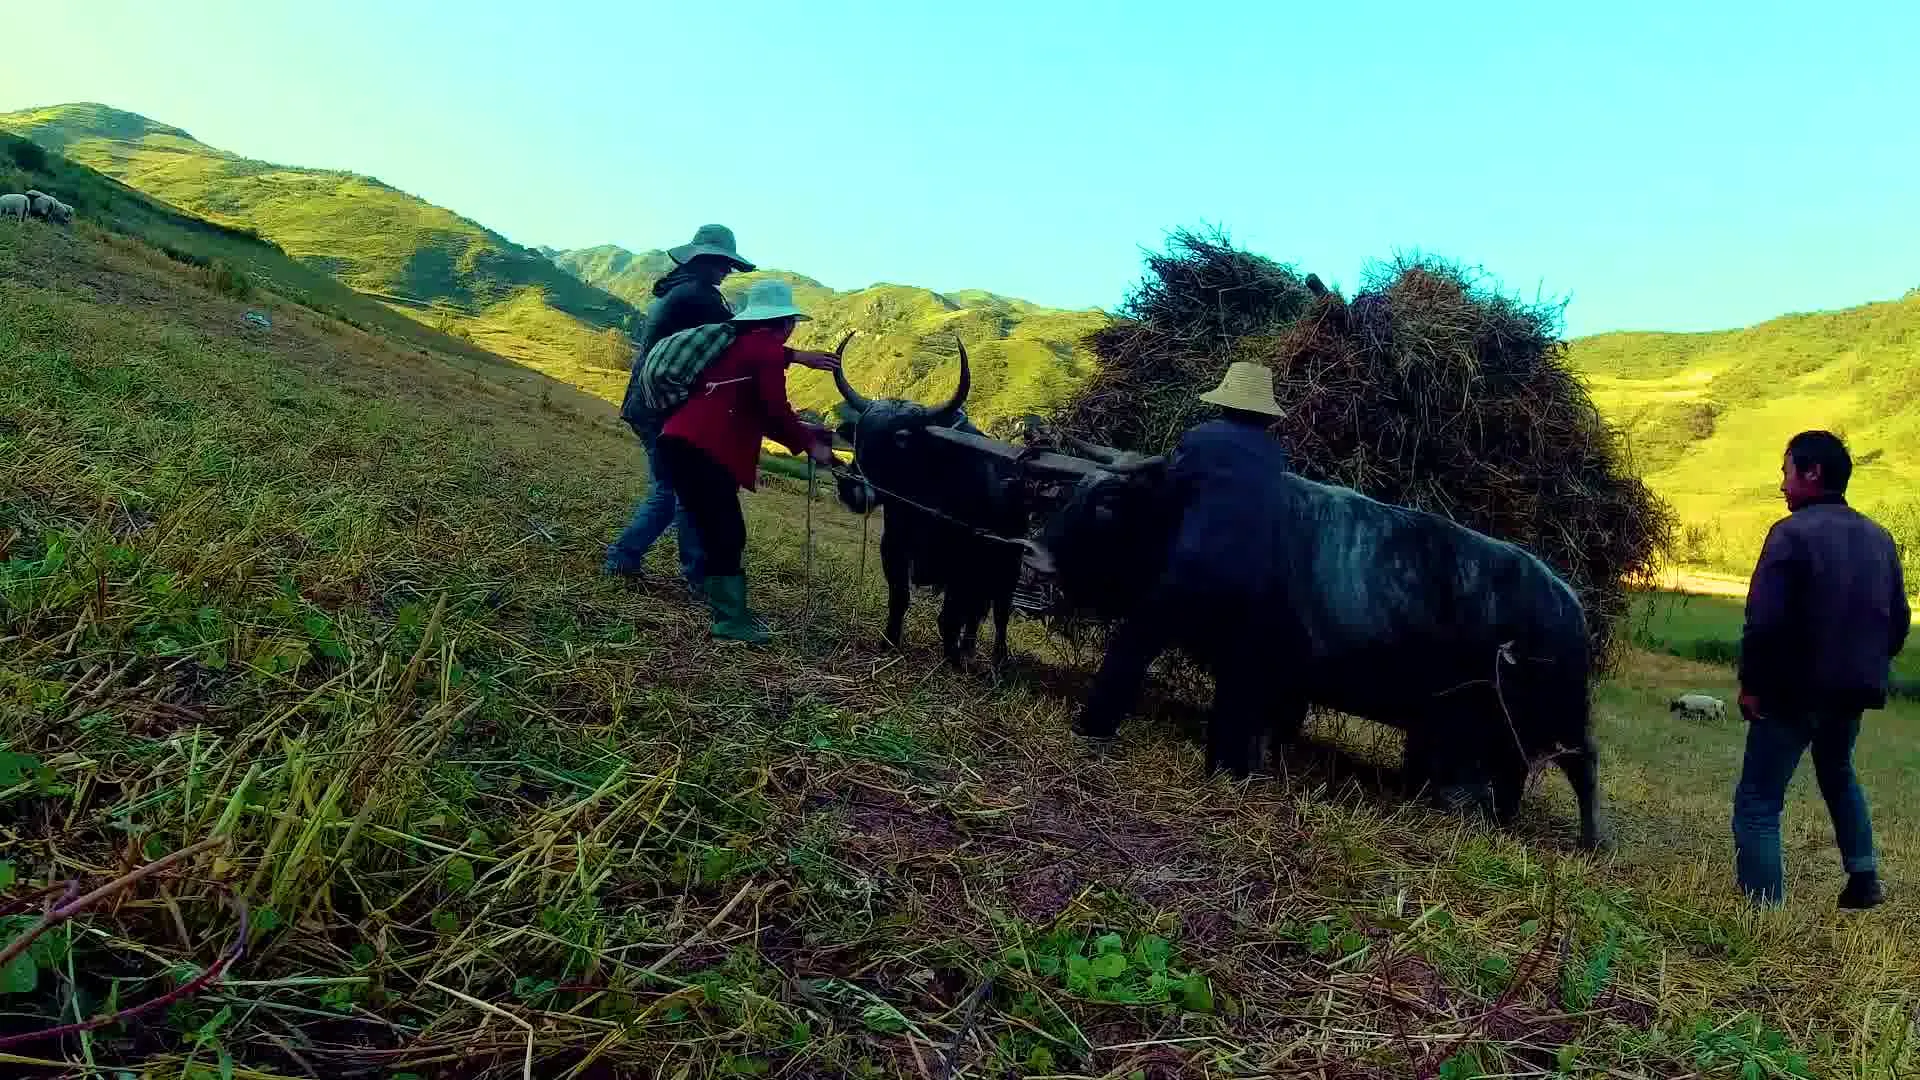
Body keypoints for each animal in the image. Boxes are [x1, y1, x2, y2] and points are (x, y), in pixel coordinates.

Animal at [829, 340, 1029, 668]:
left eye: (901, 439)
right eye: (860, 435)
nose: (852, 489)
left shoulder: (962, 564)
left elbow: (950, 616)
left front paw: (952, 661)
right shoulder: (894, 549)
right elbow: (900, 599)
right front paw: (888, 643)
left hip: (1008, 570)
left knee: (1000, 614)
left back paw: (997, 659)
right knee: (977, 615)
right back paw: (969, 649)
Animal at [1021, 432, 1605, 845]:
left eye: (1108, 501)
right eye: (1070, 492)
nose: (1032, 552)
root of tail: (1569, 599)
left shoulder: (1261, 665)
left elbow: (1254, 722)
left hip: (1561, 717)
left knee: (1583, 766)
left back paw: (1590, 842)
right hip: (1506, 725)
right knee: (1514, 769)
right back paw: (1502, 820)